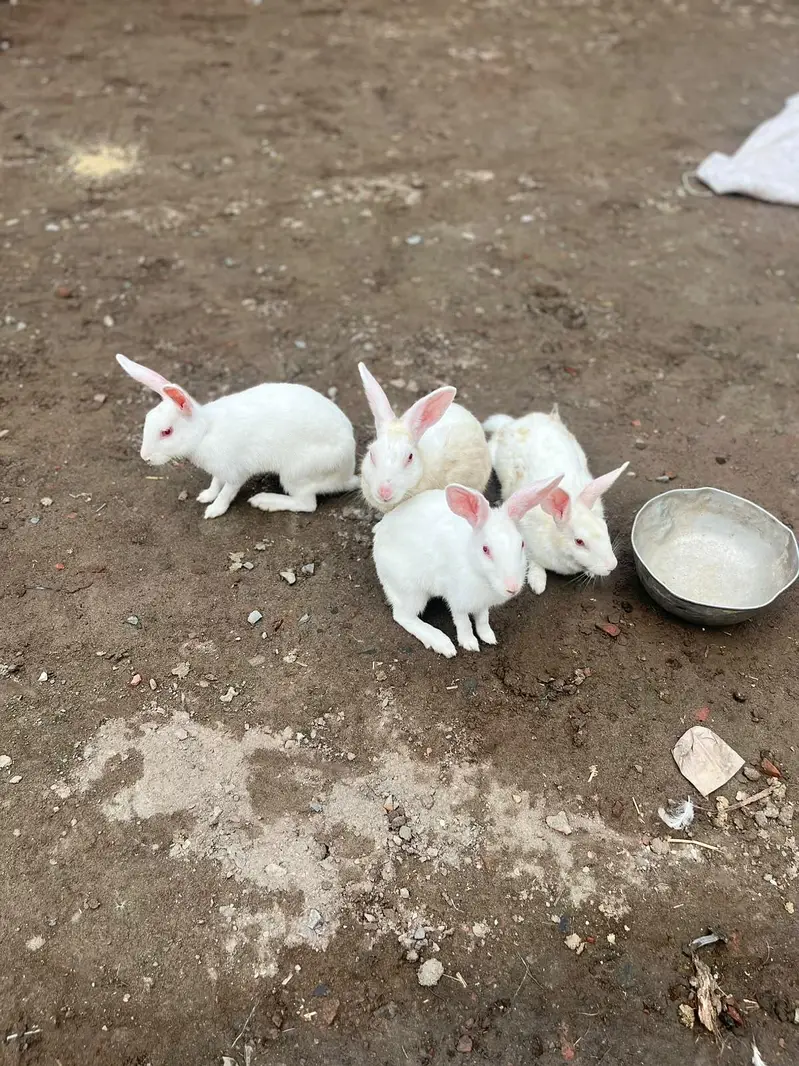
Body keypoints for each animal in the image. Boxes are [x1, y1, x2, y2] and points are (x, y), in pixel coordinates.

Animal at [116, 353, 359, 519]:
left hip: (295, 474)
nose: (145, 457)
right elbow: (215, 483)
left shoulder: (236, 474)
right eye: (147, 419)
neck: (204, 433)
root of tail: (346, 473)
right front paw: (206, 496)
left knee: (307, 504)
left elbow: (227, 492)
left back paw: (264, 501)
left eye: (166, 432)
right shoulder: (219, 471)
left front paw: (213, 510)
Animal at [372, 475, 563, 657]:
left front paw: (488, 637)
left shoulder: (483, 604)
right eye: (485, 549)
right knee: (403, 616)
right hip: (411, 591)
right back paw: (442, 643)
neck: (477, 570)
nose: (513, 588)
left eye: (522, 544)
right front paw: (469, 643)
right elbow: (463, 622)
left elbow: (482, 619)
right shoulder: (457, 600)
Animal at [483, 406, 629, 593]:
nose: (612, 565)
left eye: (604, 528)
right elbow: (534, 563)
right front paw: (538, 583)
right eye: (579, 541)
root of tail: (517, 422)